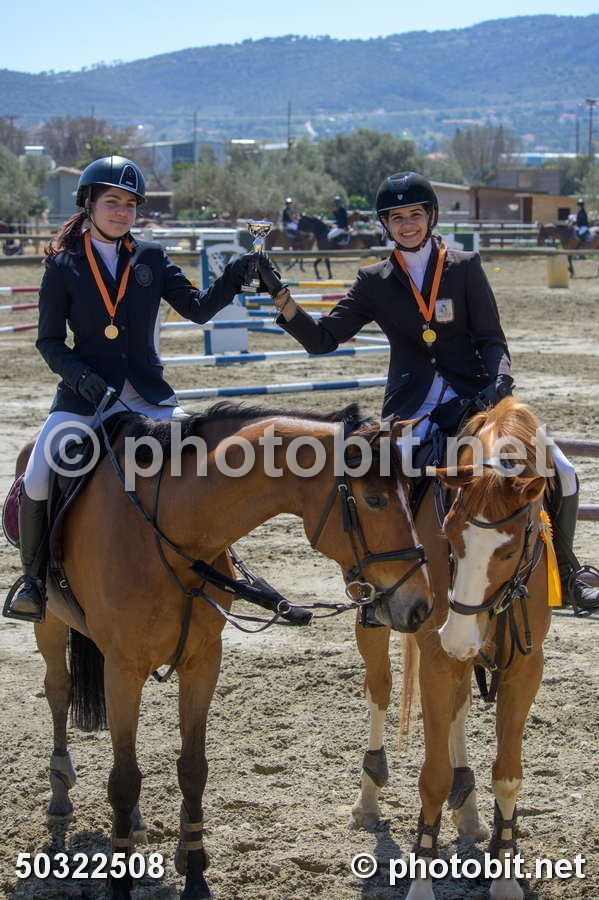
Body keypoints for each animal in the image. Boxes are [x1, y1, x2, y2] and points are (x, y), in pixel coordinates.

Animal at [15, 401, 433, 900]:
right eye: (374, 500)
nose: (420, 606)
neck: (171, 531)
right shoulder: (123, 669)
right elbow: (124, 778)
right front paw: (120, 882)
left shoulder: (203, 661)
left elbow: (192, 768)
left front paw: (195, 872)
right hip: (51, 626)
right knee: (59, 692)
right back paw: (60, 794)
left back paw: (135, 824)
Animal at [351, 398, 554, 899]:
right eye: (449, 534)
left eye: (508, 551)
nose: (459, 636)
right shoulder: (439, 659)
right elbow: (433, 778)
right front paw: (422, 878)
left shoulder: (526, 665)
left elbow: (508, 774)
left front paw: (505, 872)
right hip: (378, 619)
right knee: (380, 688)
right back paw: (369, 794)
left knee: (459, 708)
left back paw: (469, 810)